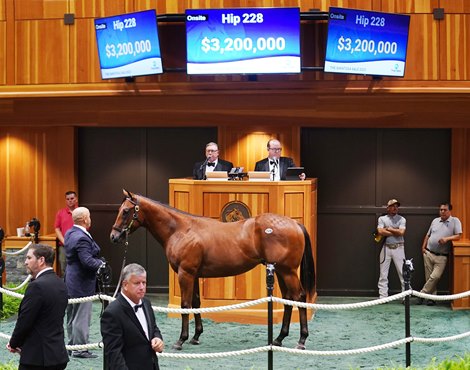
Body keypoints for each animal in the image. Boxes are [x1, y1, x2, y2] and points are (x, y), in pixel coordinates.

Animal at [110, 191, 316, 350]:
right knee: (288, 300)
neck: (181, 229)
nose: (114, 236)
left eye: (126, 211)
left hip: (288, 271)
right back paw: (279, 339)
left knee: (299, 297)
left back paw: (301, 340)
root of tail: (295, 224)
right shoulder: (193, 275)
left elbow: (185, 304)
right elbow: (196, 302)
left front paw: (181, 340)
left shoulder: (185, 273)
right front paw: (195, 336)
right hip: (281, 271)